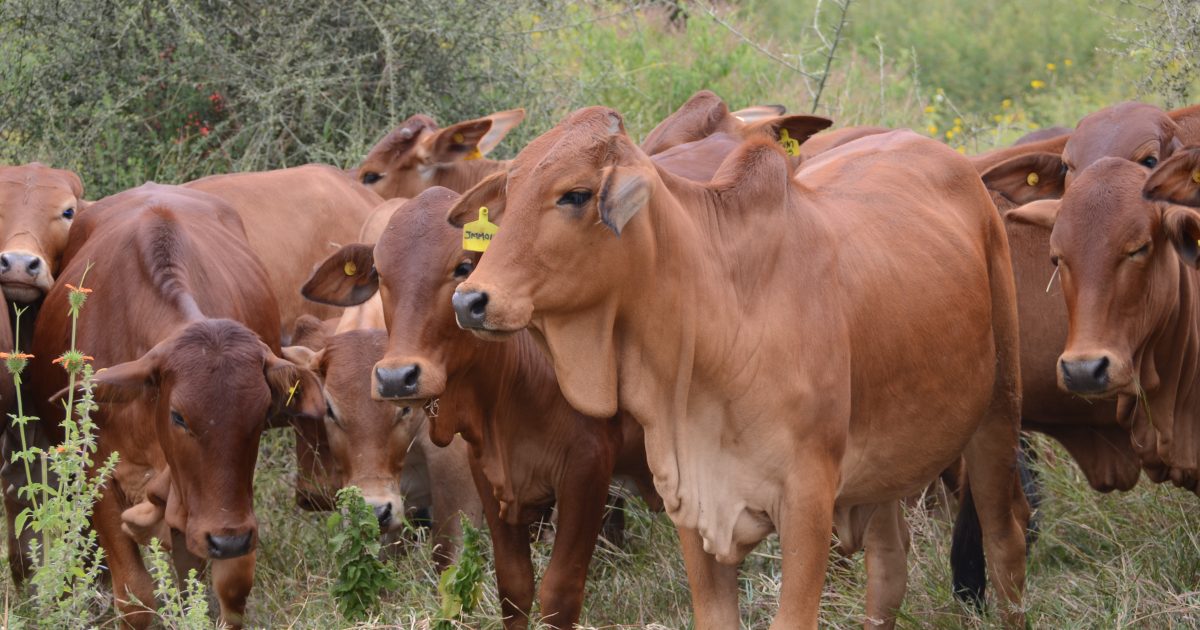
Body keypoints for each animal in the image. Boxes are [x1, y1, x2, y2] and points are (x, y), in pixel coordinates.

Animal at [26, 183, 323, 629]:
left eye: (260, 416)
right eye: (178, 416)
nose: (229, 540)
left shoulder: (218, 507)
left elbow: (227, 586)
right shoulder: (98, 476)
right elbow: (135, 595)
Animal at [446, 108, 1028, 628]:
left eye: (575, 194)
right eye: (508, 195)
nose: (470, 300)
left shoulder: (808, 504)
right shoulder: (691, 502)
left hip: (998, 413)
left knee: (1006, 542)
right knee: (889, 569)